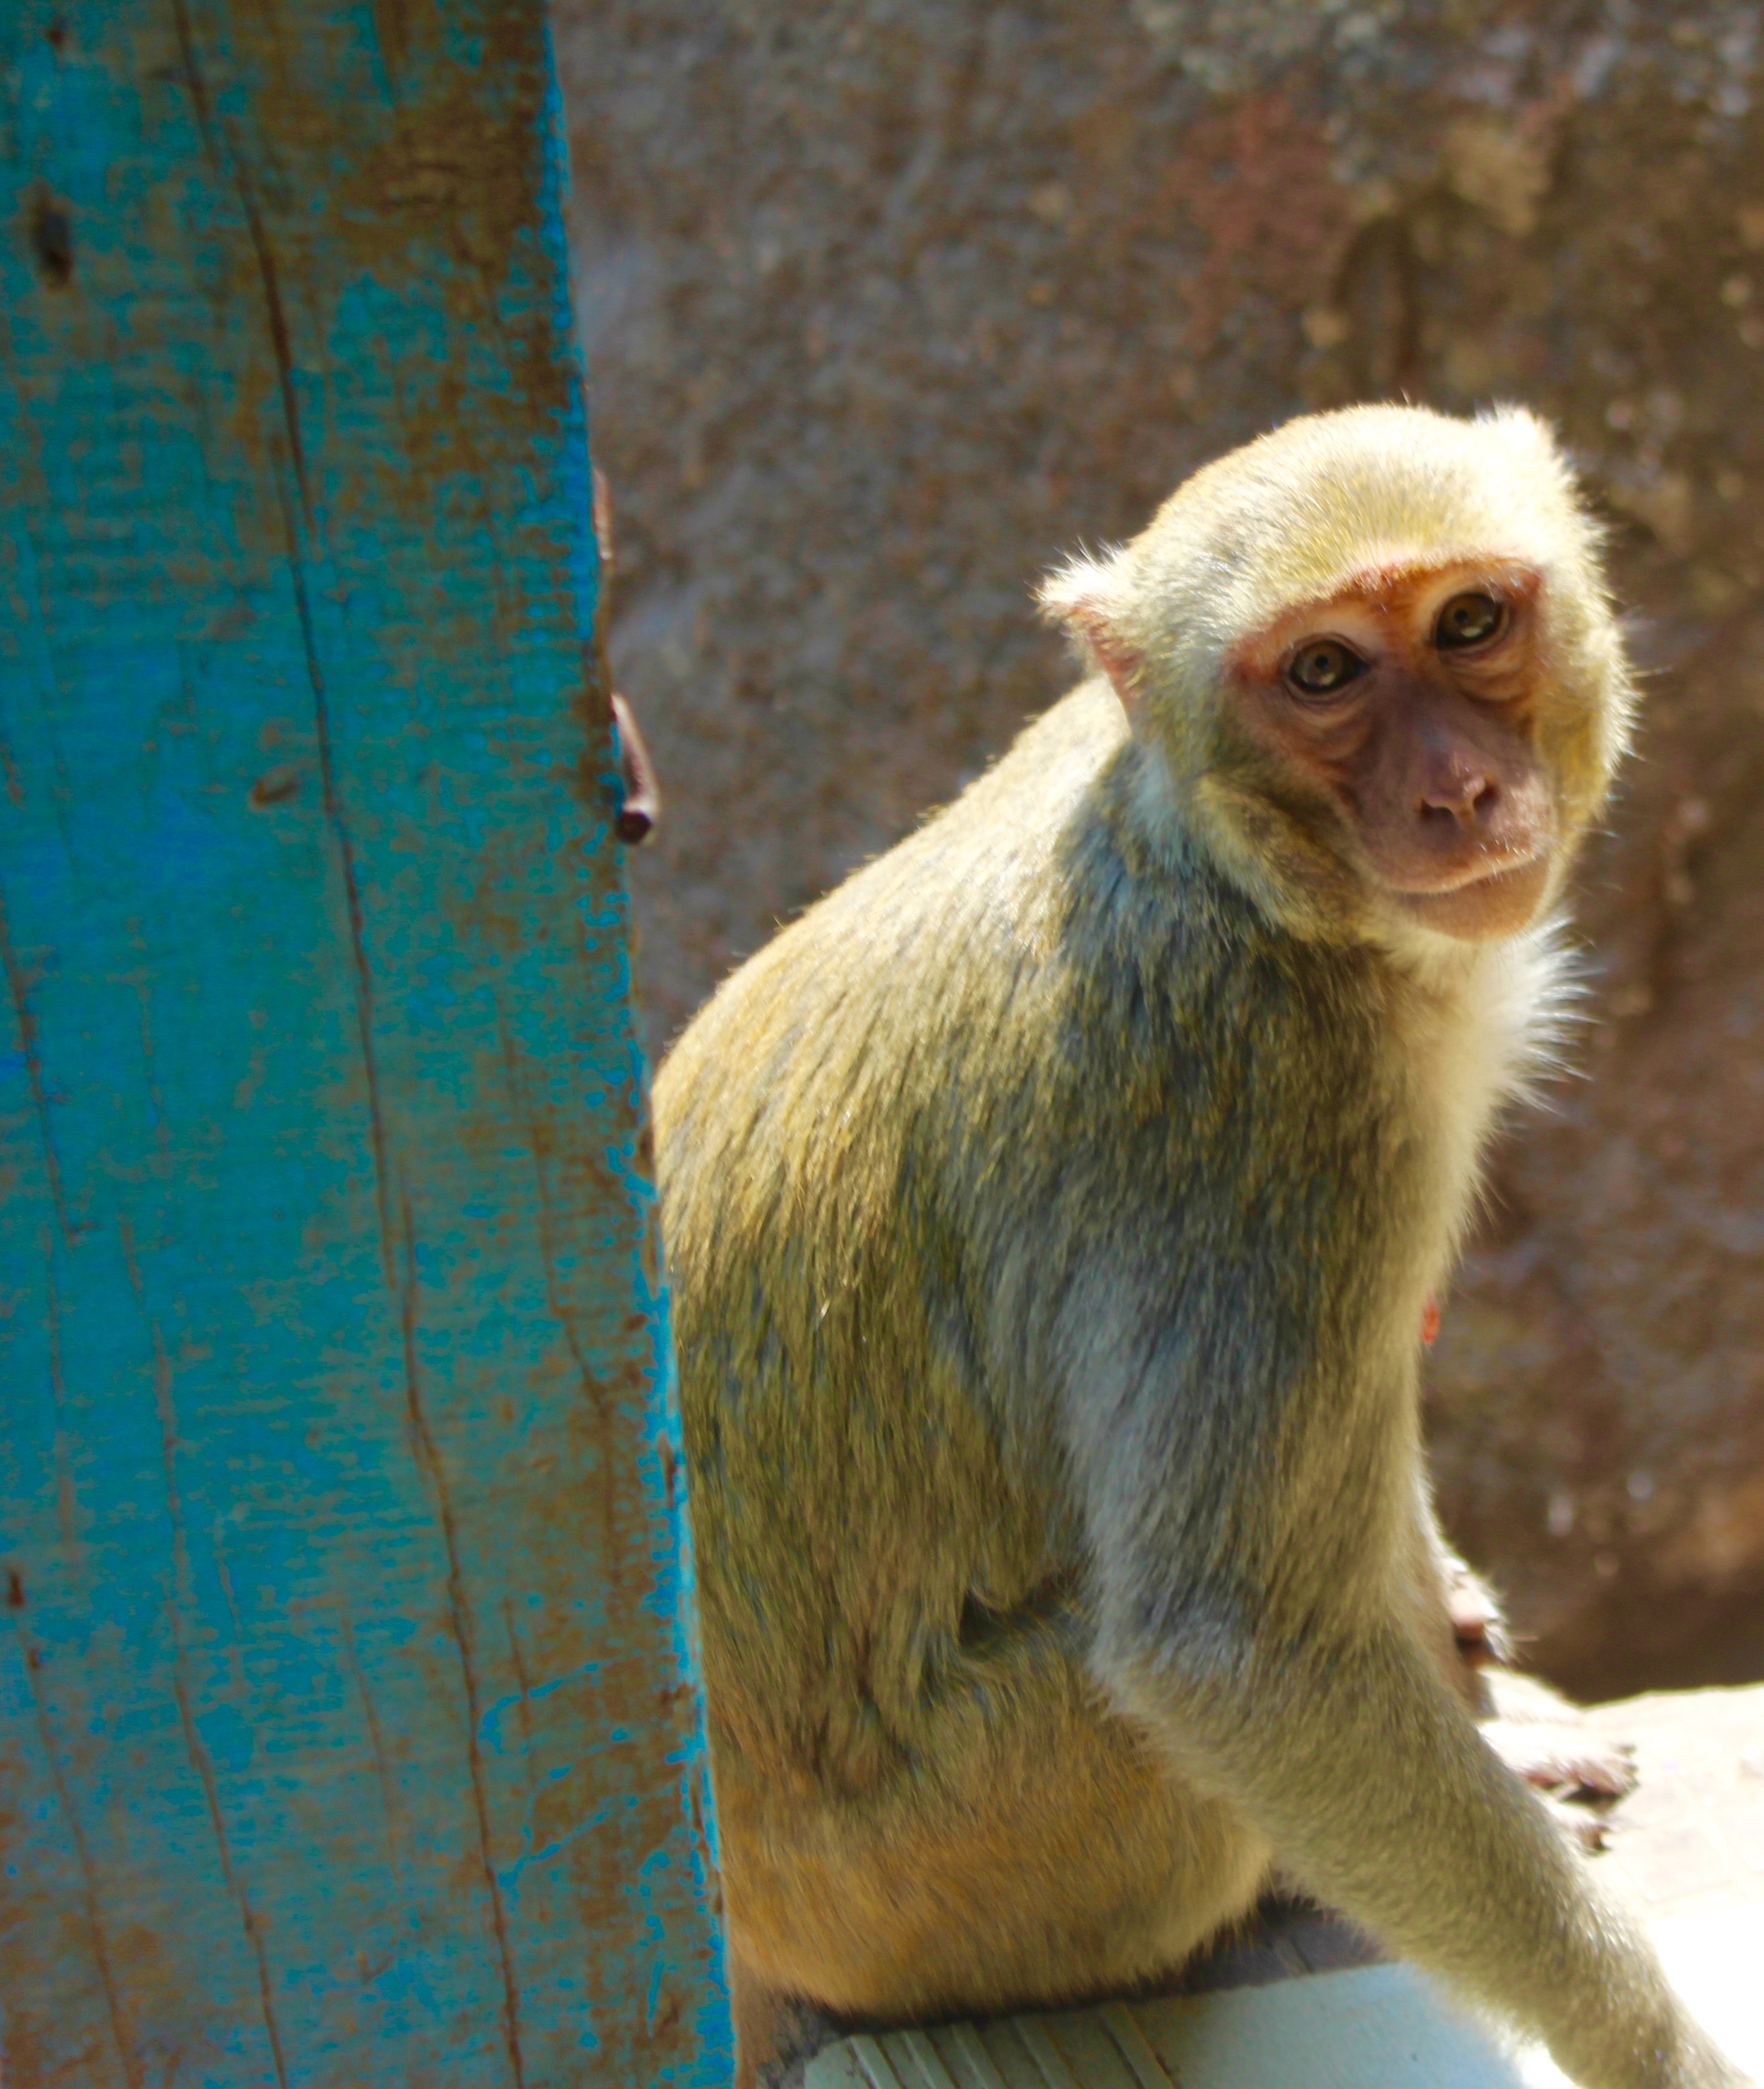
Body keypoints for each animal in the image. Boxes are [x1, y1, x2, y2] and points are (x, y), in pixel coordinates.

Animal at [652, 407, 1747, 2089]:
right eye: (1323, 673)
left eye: (1470, 623)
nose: (1457, 793)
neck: (1252, 880)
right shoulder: (1264, 1109)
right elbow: (1235, 1651)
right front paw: (1657, 2046)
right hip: (970, 1858)